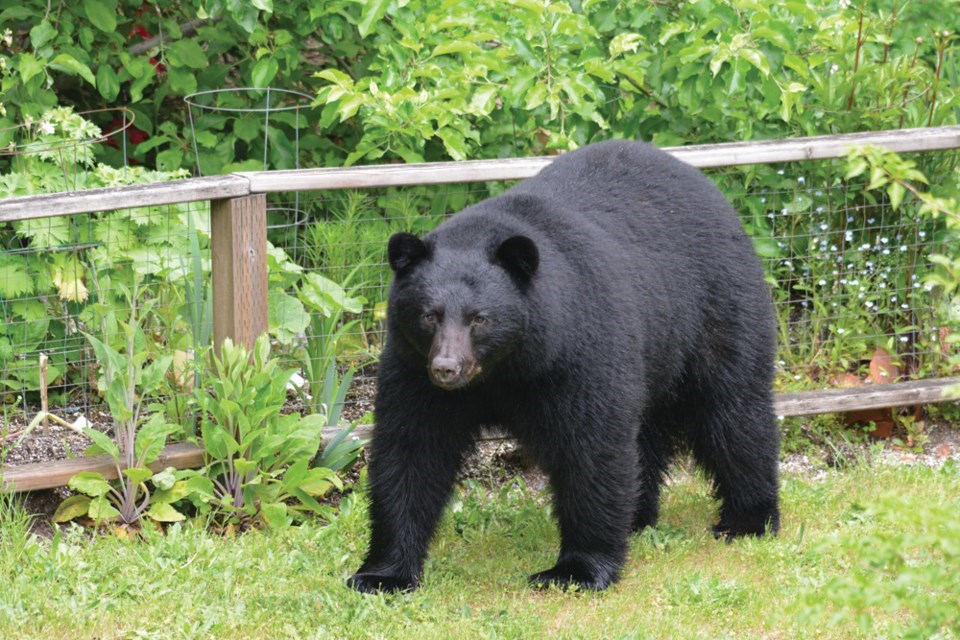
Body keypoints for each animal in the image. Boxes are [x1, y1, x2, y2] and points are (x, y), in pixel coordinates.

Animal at [348, 140, 784, 596]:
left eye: (479, 318)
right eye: (429, 315)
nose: (447, 369)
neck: (503, 370)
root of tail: (708, 187)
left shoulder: (578, 352)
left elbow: (591, 448)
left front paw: (576, 569)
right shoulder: (412, 367)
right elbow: (411, 449)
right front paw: (382, 574)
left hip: (717, 309)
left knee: (732, 413)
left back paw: (748, 519)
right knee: (647, 431)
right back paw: (637, 517)